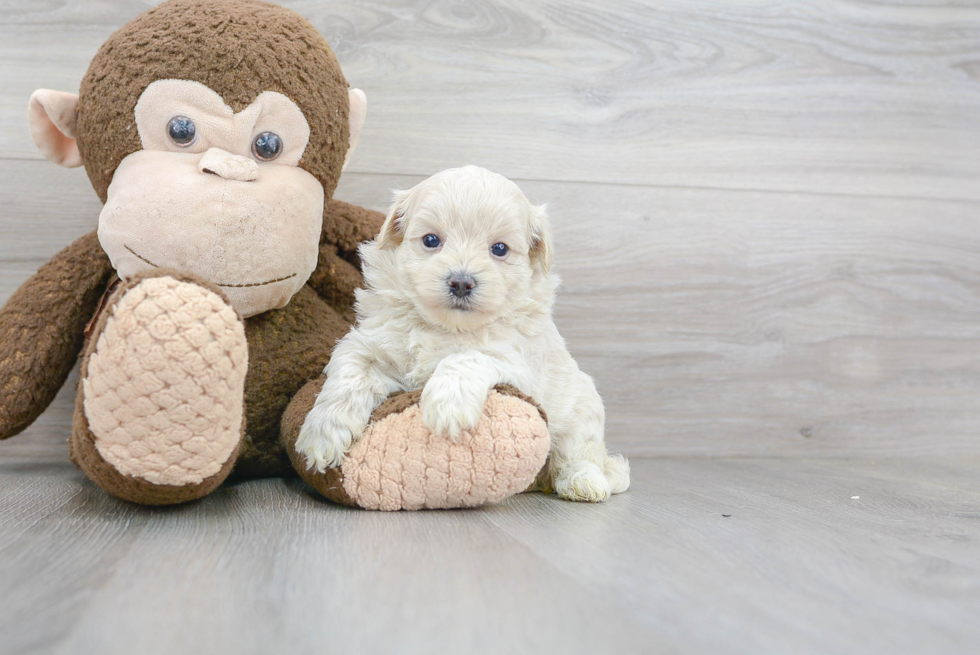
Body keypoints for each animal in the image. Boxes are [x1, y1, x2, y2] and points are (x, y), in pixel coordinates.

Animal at [298, 165, 632, 502]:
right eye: (431, 240)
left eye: (500, 249)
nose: (461, 282)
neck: (446, 326)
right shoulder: (369, 344)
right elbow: (348, 378)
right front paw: (322, 435)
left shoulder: (515, 360)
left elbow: (465, 357)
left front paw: (447, 405)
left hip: (584, 409)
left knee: (580, 453)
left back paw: (584, 482)